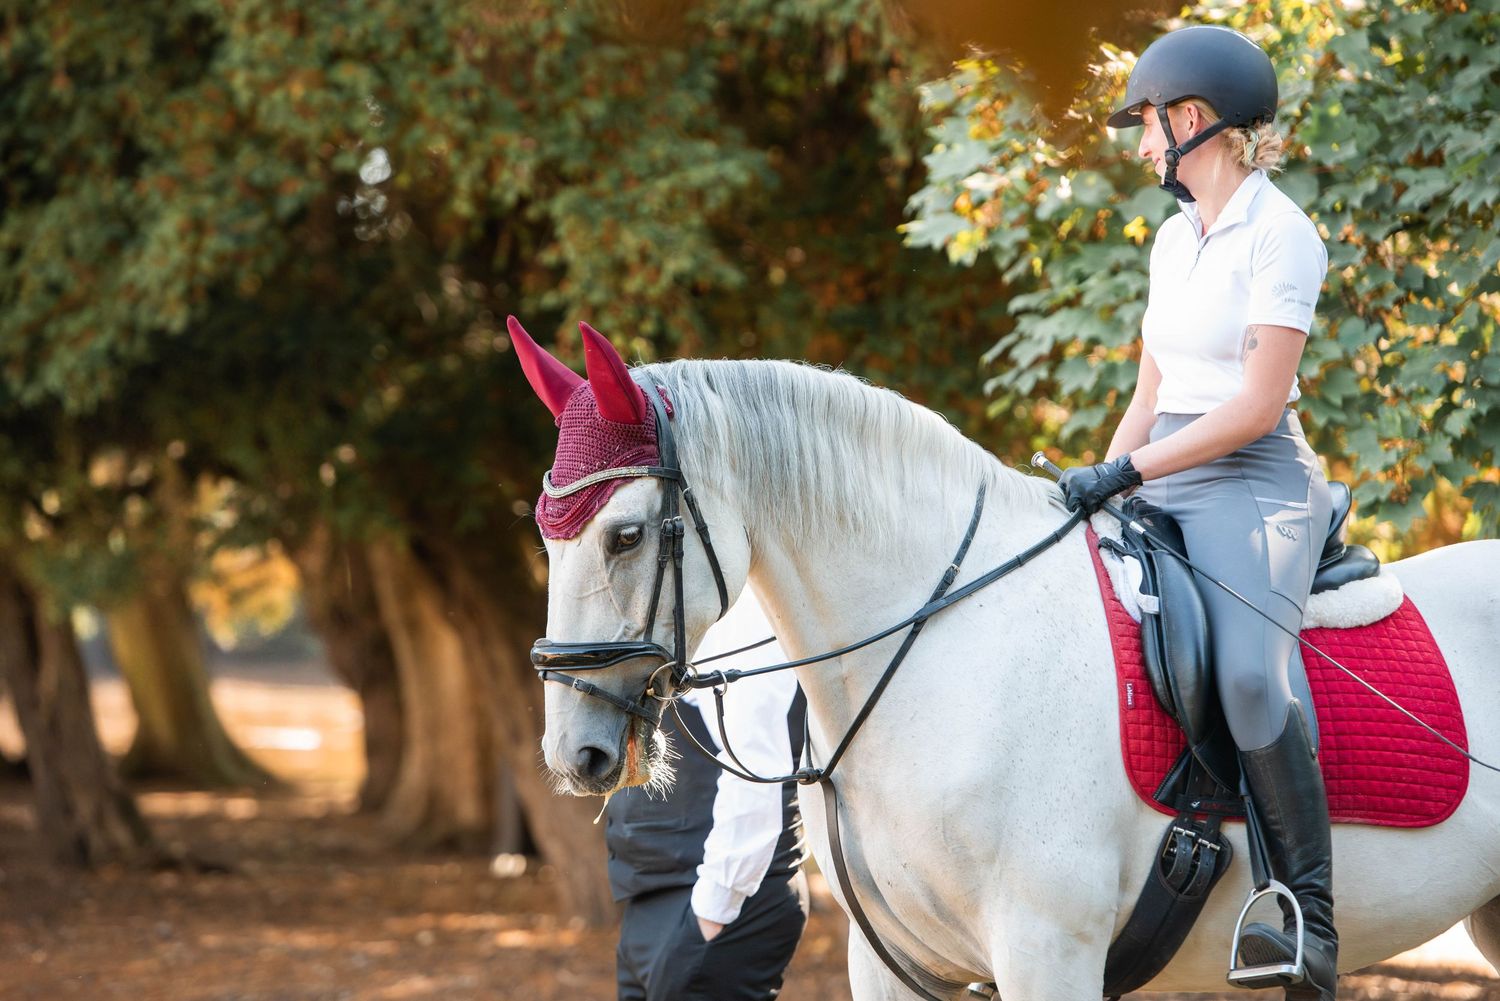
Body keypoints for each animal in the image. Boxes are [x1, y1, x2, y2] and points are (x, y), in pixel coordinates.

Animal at [517, 326, 1500, 999]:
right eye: (545, 533)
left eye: (625, 534)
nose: (575, 753)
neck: (938, 652)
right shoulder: (896, 965)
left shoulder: (1046, 950)